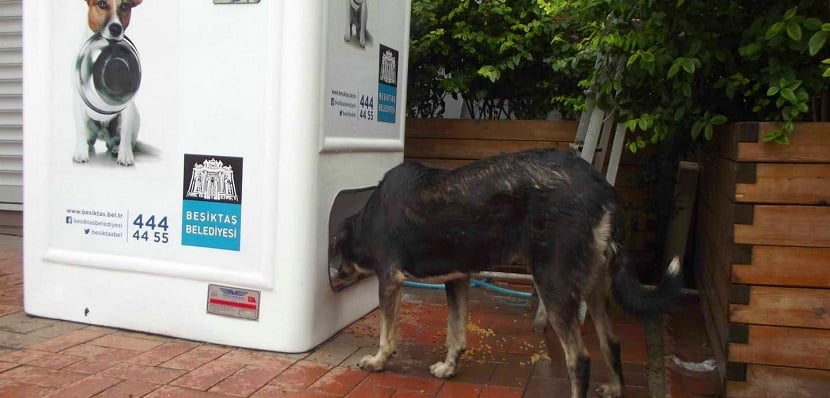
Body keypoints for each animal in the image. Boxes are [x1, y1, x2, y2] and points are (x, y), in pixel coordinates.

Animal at [75, 0, 143, 165]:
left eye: (125, 6)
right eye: (101, 3)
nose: (116, 28)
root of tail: (103, 135)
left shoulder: (128, 107)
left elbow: (125, 133)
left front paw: (125, 155)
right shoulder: (78, 101)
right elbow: (80, 129)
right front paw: (80, 153)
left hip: (133, 117)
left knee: (128, 140)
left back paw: (118, 149)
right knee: (89, 138)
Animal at [332, 148, 684, 398]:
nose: (334, 277)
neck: (369, 217)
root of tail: (602, 187)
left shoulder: (390, 281)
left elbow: (387, 333)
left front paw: (377, 361)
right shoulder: (458, 280)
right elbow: (455, 334)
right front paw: (449, 369)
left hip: (553, 284)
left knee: (579, 360)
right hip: (594, 287)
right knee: (611, 341)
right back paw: (615, 387)